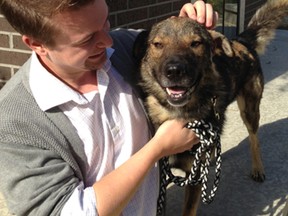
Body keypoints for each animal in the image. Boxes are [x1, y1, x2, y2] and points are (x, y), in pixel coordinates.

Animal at [134, 0, 288, 216]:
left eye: (195, 43)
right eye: (157, 44)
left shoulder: (194, 176)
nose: (174, 71)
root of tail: (241, 41)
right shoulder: (161, 176)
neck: (178, 113)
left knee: (254, 139)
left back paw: (258, 168)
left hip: (250, 110)